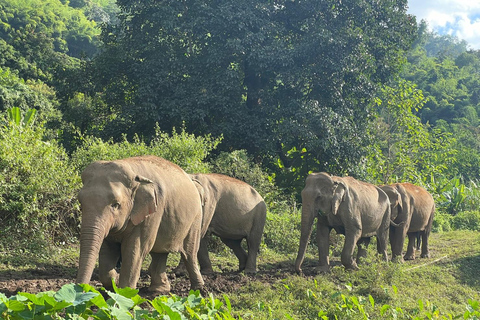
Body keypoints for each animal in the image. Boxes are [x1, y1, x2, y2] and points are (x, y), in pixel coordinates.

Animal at [76, 156, 203, 294]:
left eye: (115, 205)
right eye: (80, 202)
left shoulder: (152, 212)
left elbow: (135, 248)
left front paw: (125, 293)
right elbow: (107, 248)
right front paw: (115, 281)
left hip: (196, 219)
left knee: (189, 253)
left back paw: (199, 289)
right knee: (159, 253)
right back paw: (158, 291)